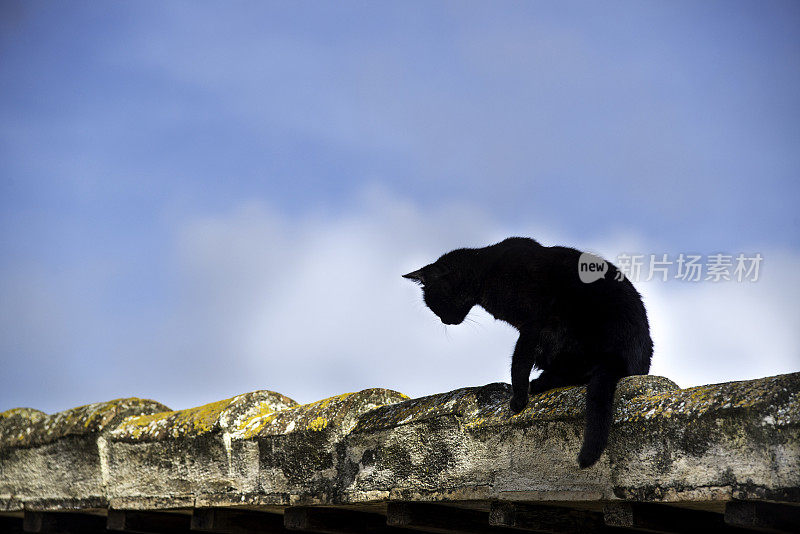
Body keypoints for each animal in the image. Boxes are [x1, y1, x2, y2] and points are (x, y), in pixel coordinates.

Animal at [404, 238, 652, 468]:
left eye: (435, 302)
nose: (445, 321)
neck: (486, 272)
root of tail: (619, 362)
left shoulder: (533, 322)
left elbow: (519, 360)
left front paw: (519, 398)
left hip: (563, 327)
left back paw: (539, 384)